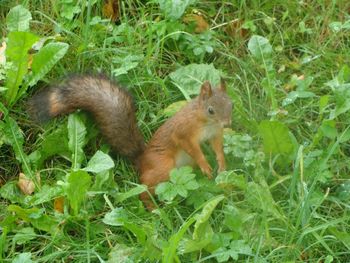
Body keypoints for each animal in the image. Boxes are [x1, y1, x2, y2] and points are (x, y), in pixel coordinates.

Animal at [29, 75, 232, 210]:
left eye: (232, 104)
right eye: (211, 110)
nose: (227, 123)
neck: (206, 122)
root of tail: (142, 161)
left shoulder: (215, 134)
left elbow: (218, 148)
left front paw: (222, 165)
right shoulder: (183, 132)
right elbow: (192, 148)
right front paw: (205, 165)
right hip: (163, 166)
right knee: (144, 189)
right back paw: (153, 208)